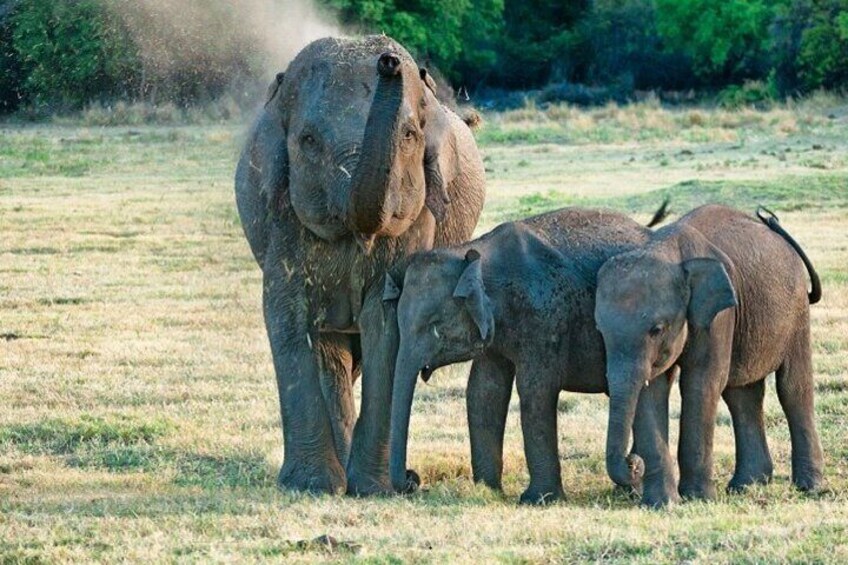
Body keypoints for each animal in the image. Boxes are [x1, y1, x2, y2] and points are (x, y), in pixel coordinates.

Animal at [235, 35, 486, 494]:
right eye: (308, 140)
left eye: (409, 135)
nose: (388, 62)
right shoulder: (279, 217)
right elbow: (287, 317)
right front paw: (310, 486)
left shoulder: (417, 221)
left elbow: (385, 322)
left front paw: (374, 489)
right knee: (331, 355)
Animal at [382, 208, 676, 506]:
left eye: (435, 325)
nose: (413, 478)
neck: (475, 253)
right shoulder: (495, 331)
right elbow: (484, 391)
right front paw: (489, 491)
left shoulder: (545, 318)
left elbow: (536, 389)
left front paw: (537, 500)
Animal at [592, 205, 824, 500]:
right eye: (600, 330)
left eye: (657, 329)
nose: (633, 463)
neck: (667, 248)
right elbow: (652, 389)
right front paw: (662, 503)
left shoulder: (719, 313)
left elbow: (701, 382)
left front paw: (696, 498)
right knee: (742, 394)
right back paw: (745, 485)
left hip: (796, 313)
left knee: (793, 388)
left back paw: (810, 487)